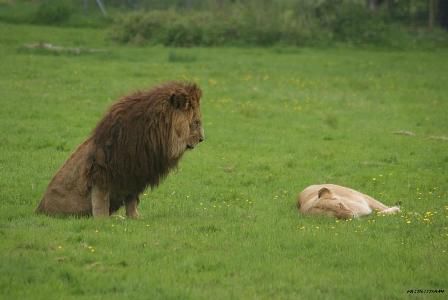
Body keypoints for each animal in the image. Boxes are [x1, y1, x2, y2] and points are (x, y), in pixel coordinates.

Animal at [36, 81, 205, 218]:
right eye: (196, 122)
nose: (202, 139)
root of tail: (38, 210)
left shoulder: (135, 172)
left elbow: (132, 199)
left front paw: (134, 218)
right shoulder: (102, 169)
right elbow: (101, 200)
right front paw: (102, 220)